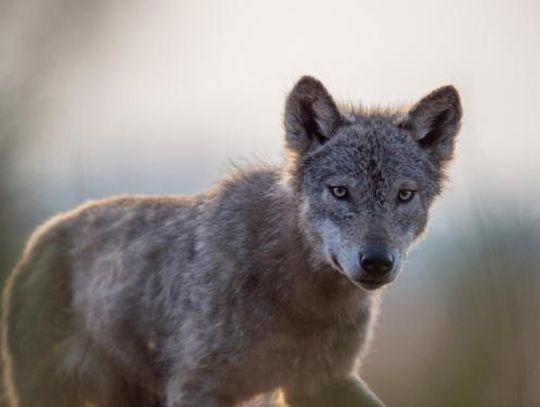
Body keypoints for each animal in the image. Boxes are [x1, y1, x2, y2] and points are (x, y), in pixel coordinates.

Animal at [2, 75, 462, 404]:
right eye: (340, 191)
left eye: (404, 195)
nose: (377, 261)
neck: (301, 298)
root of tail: (39, 236)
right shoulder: (196, 388)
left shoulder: (322, 381)